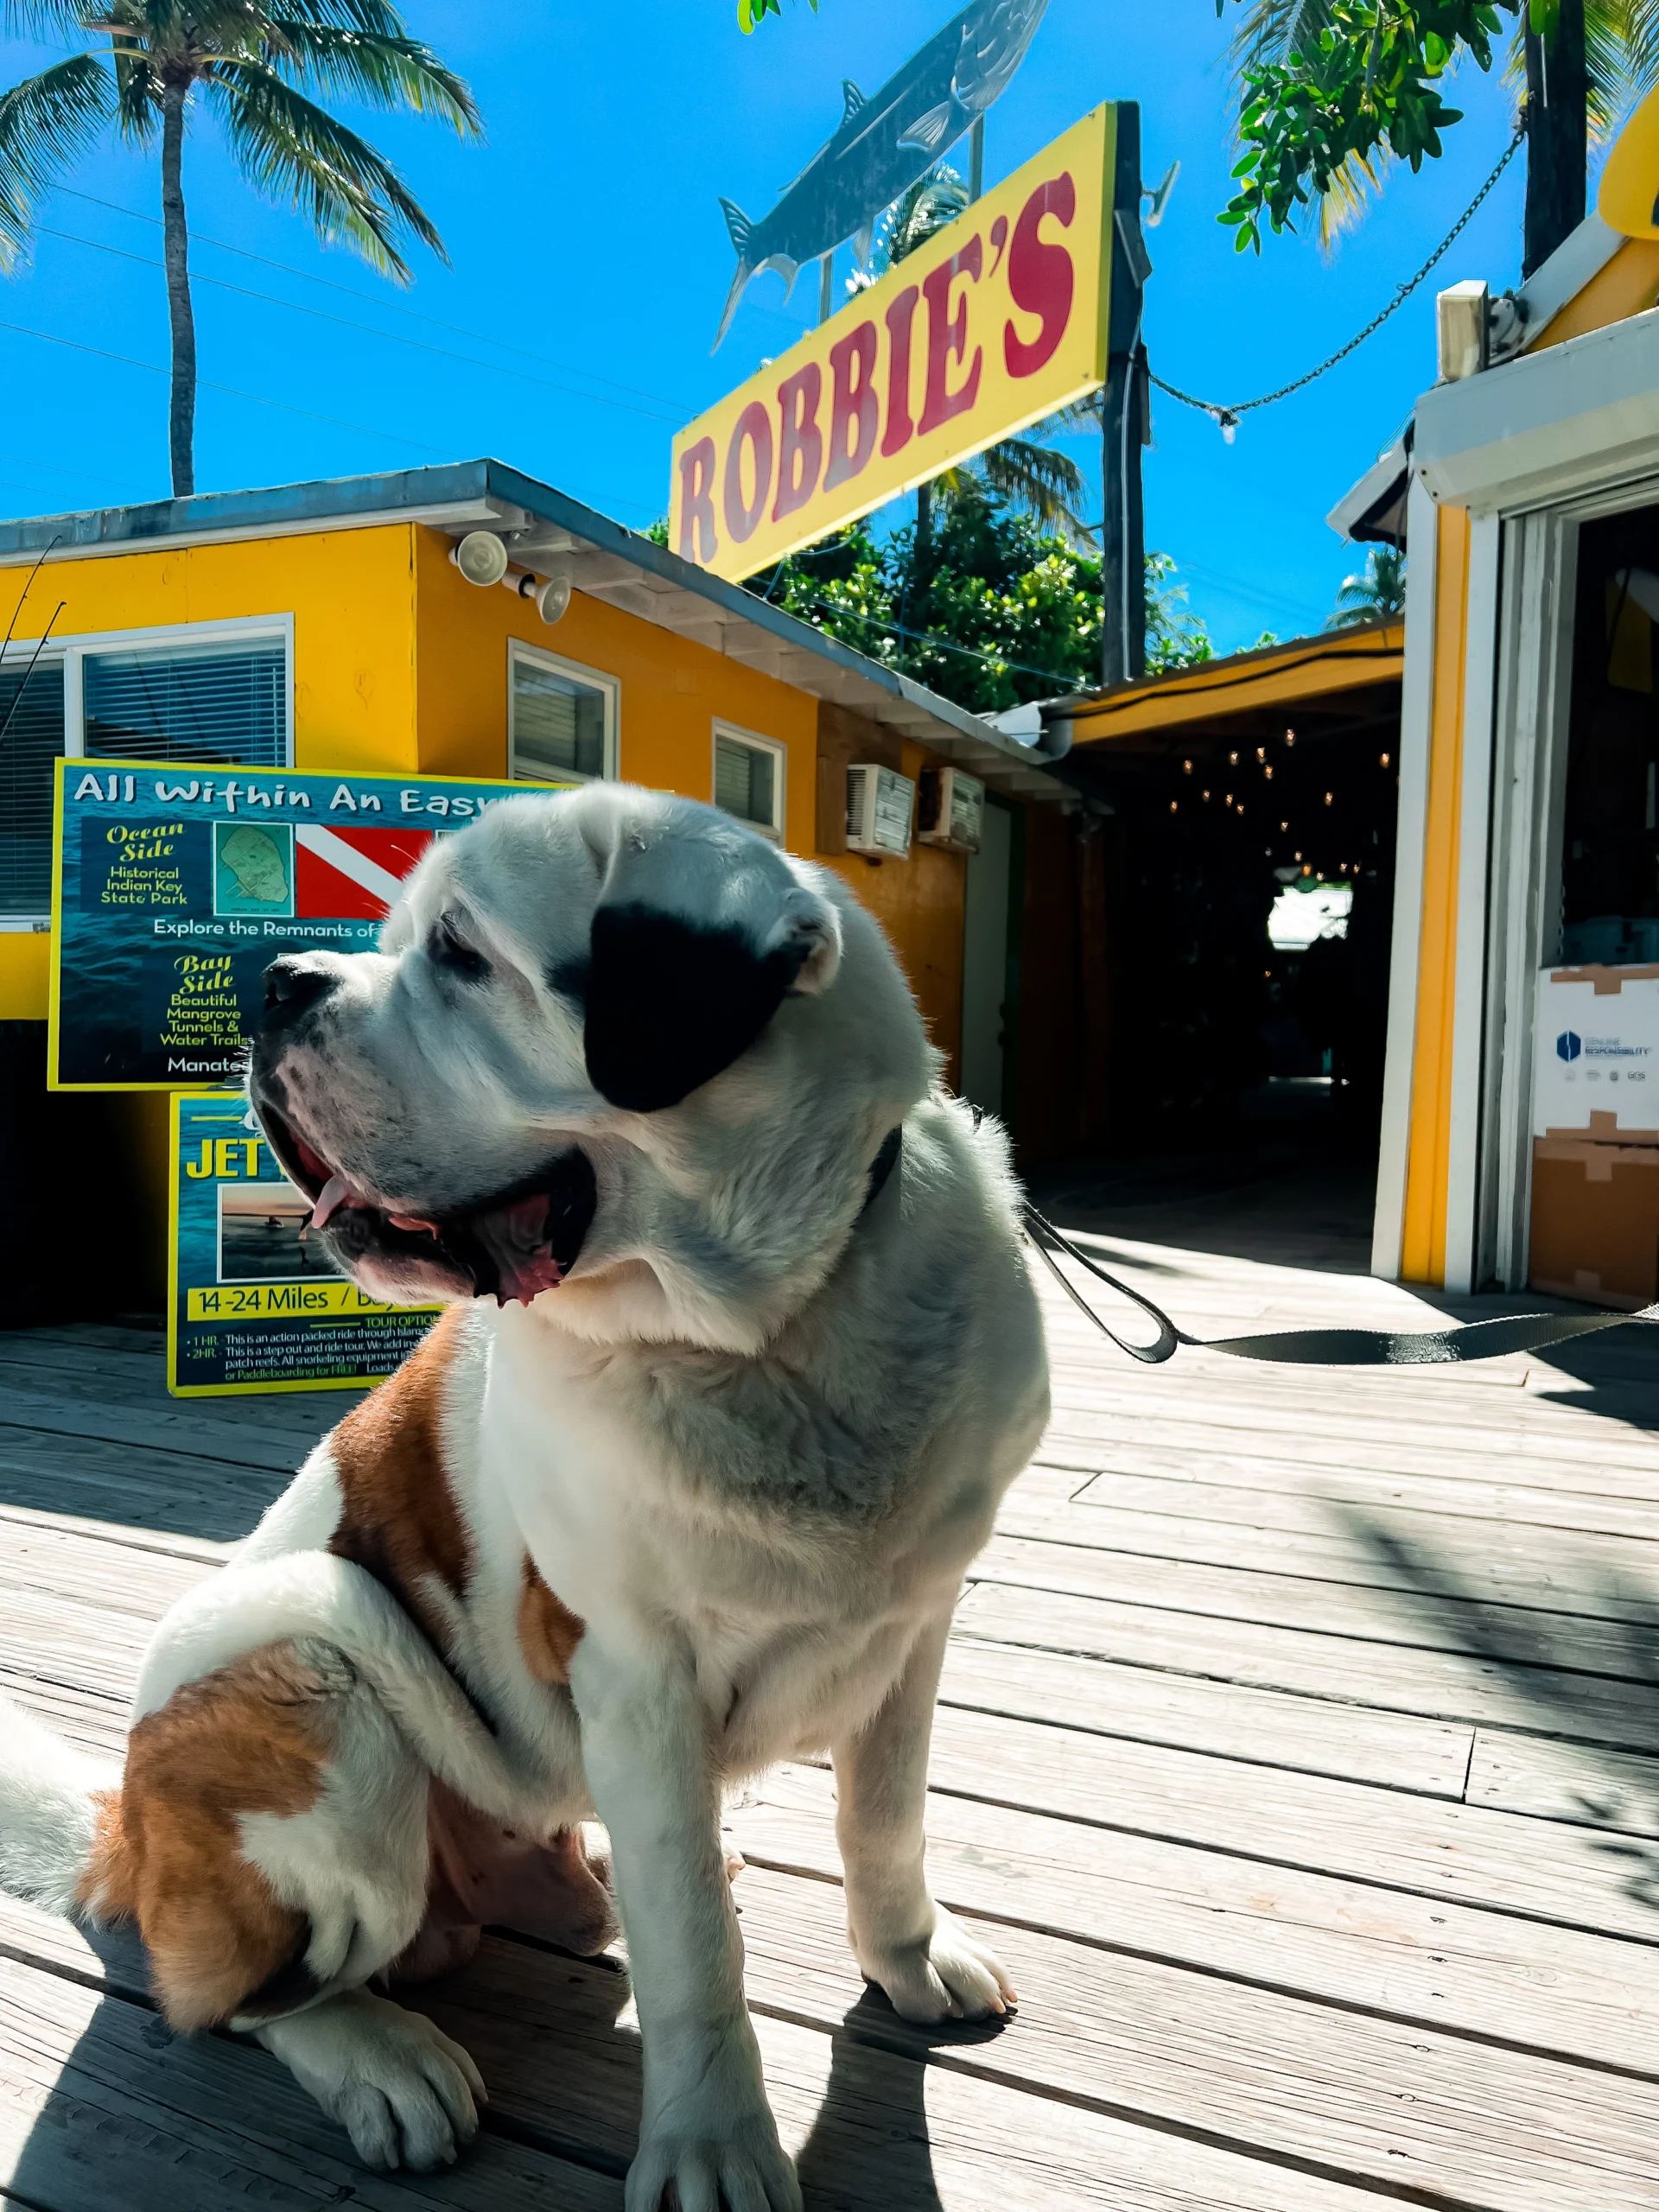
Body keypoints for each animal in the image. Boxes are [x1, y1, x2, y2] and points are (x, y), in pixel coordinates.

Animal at [0, 783, 1052, 2212]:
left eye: (458, 953)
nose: (277, 981)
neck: (765, 1329)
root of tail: (129, 1839)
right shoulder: (637, 1672)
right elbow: (695, 1950)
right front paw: (715, 2147)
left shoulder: (911, 1628)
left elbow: (882, 1819)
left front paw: (905, 1962)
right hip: (312, 1649)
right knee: (235, 1995)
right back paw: (384, 2059)